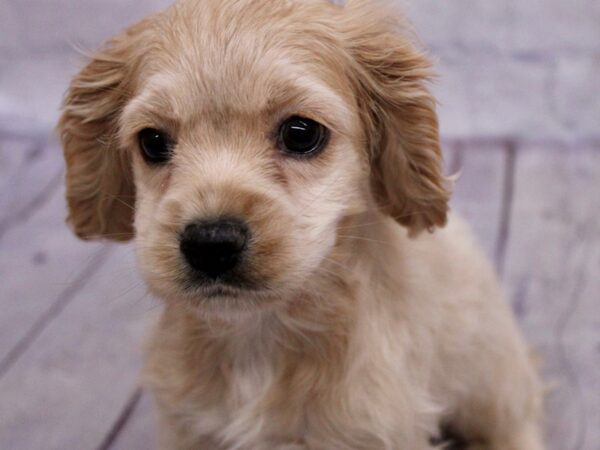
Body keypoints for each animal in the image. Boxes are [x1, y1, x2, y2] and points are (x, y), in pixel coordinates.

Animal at [58, 0, 548, 450]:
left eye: (300, 133)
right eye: (153, 142)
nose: (210, 242)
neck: (257, 337)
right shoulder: (189, 426)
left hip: (493, 382)